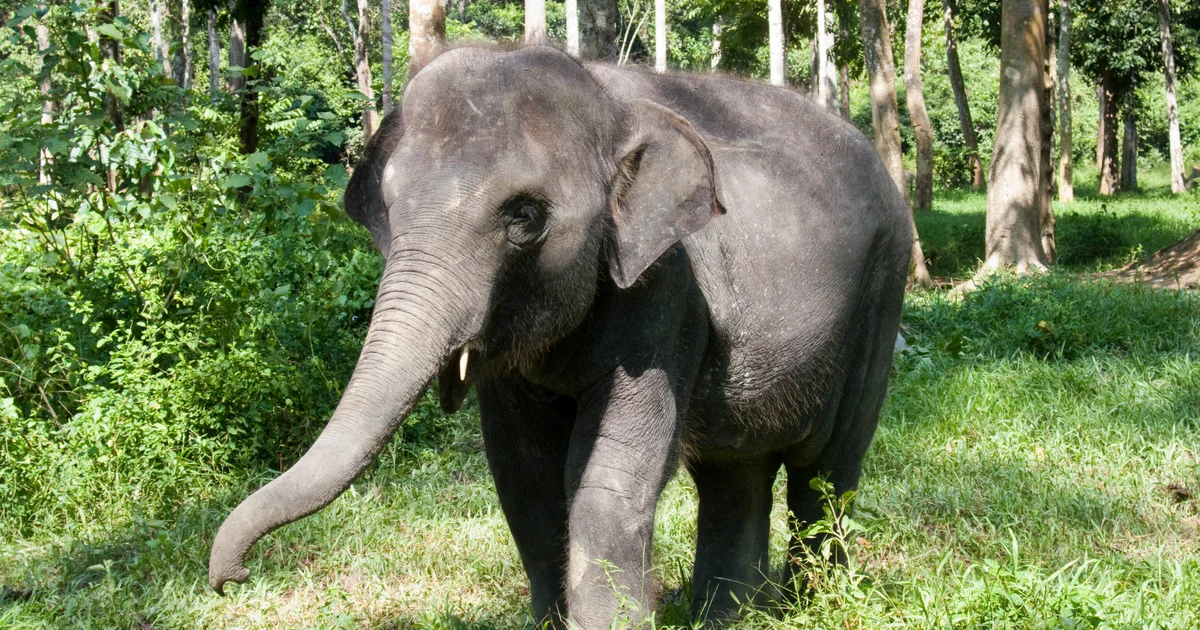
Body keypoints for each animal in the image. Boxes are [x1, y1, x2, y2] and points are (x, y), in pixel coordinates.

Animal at [209, 45, 911, 627]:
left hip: (883, 291)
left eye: (524, 216)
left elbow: (605, 480)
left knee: (826, 473)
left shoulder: (667, 287)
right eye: (387, 206)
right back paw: (730, 618)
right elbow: (525, 477)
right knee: (735, 472)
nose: (230, 578)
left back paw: (813, 605)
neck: (605, 99)